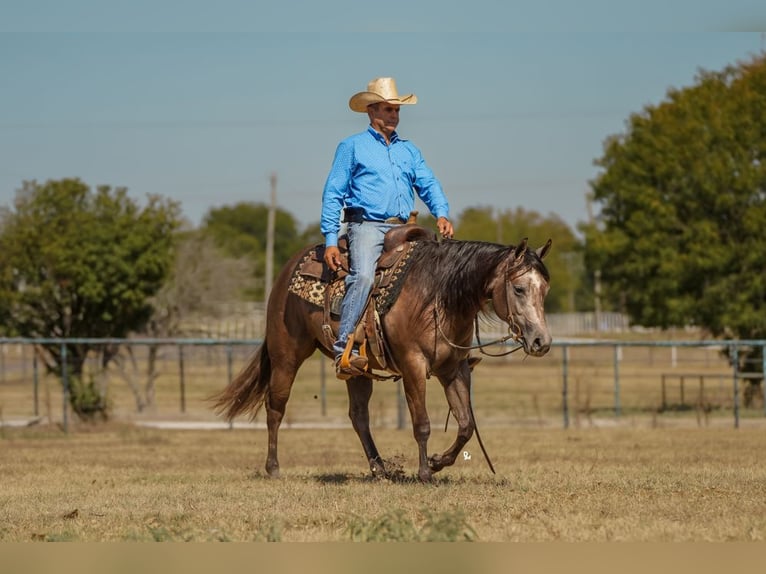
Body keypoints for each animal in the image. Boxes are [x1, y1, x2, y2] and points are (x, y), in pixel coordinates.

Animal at [213, 227, 556, 484]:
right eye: (519, 289)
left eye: (544, 290)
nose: (542, 341)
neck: (435, 296)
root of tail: (288, 270)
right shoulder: (413, 365)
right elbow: (422, 423)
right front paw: (425, 473)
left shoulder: (453, 368)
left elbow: (466, 424)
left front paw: (437, 461)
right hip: (286, 355)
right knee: (275, 407)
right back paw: (273, 467)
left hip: (355, 370)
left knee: (359, 416)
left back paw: (379, 468)